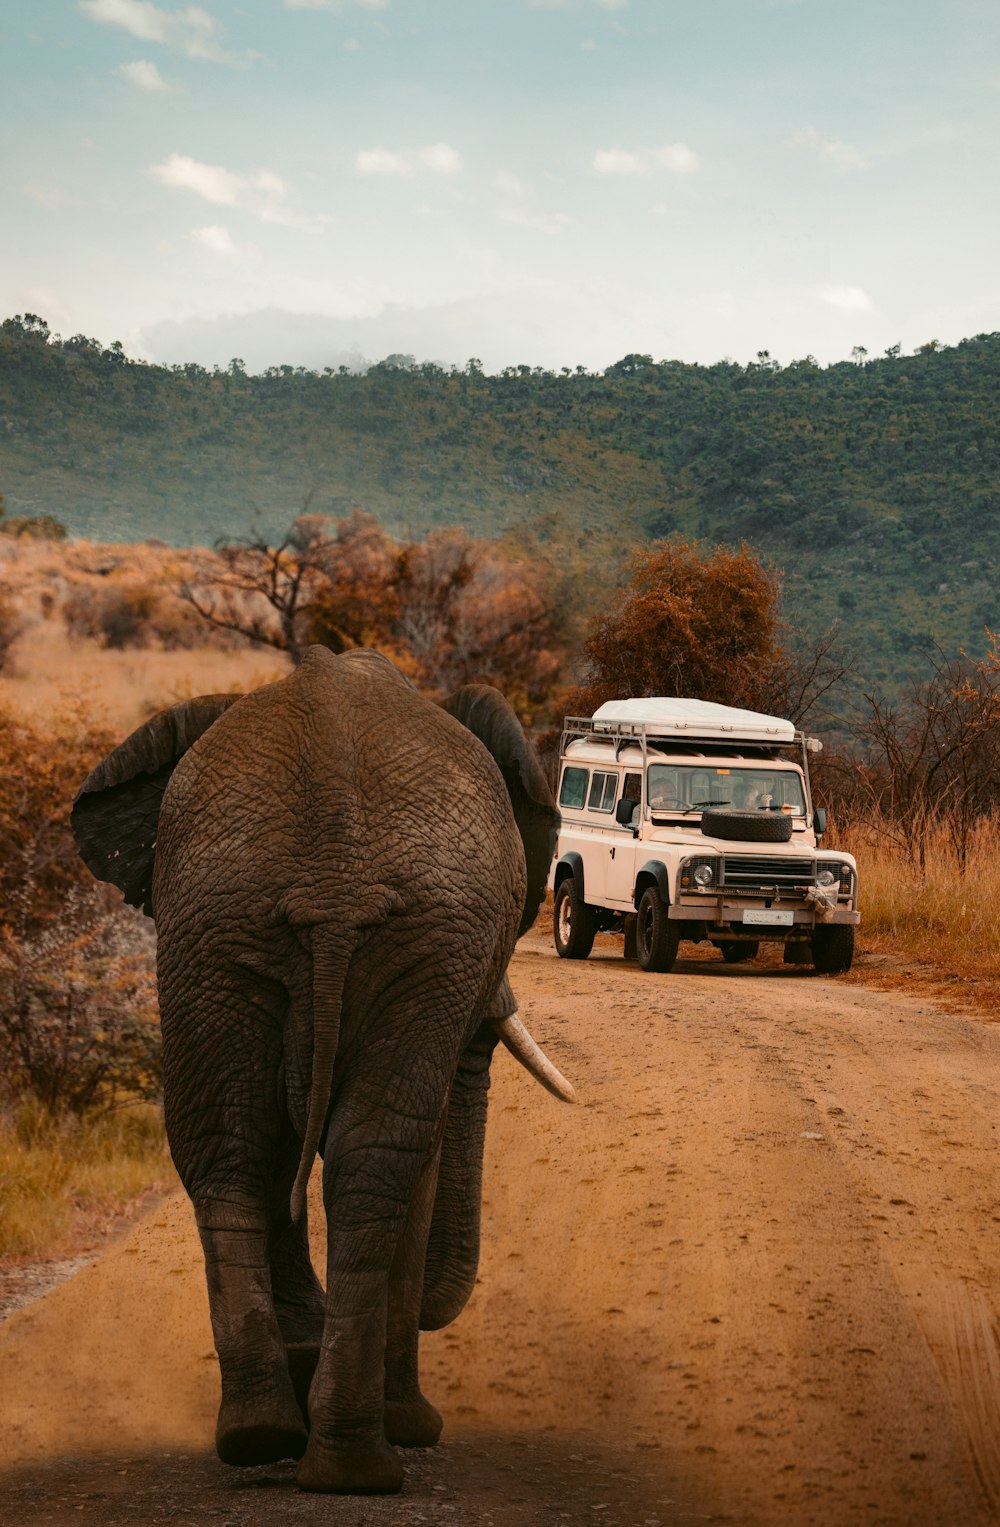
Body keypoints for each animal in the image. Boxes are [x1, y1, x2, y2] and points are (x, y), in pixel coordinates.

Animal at [72, 650, 570, 1496]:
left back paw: (262, 1435)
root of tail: (330, 878)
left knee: (230, 1150)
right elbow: (414, 1159)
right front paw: (410, 1424)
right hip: (414, 935)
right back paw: (359, 1464)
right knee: (378, 1161)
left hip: (215, 925)